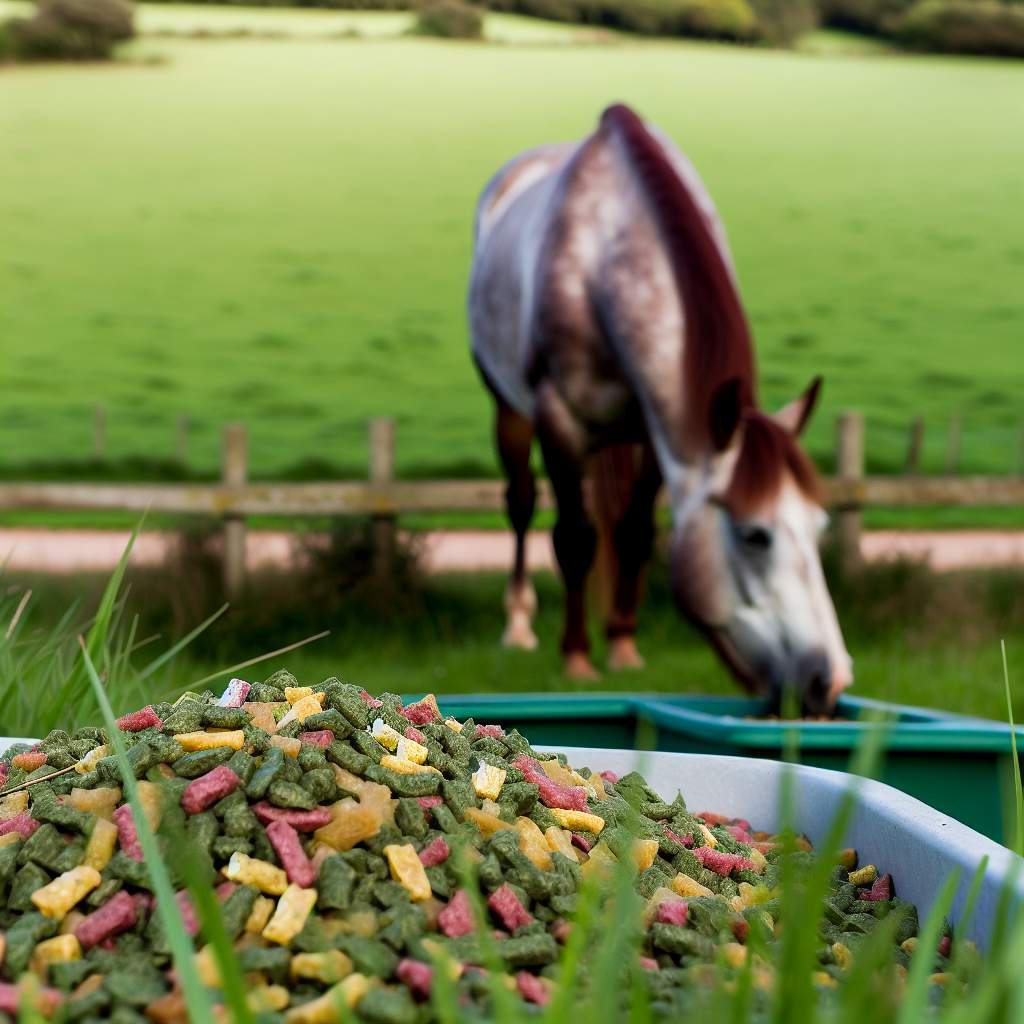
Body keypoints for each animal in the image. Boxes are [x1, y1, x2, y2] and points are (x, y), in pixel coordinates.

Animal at [468, 101, 851, 712]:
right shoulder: (560, 421)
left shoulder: (659, 433)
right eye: (755, 535)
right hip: (509, 406)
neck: (606, 254)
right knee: (523, 504)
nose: (827, 681)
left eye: (819, 527)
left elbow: (634, 533)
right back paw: (520, 624)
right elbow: (575, 538)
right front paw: (577, 659)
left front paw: (624, 647)